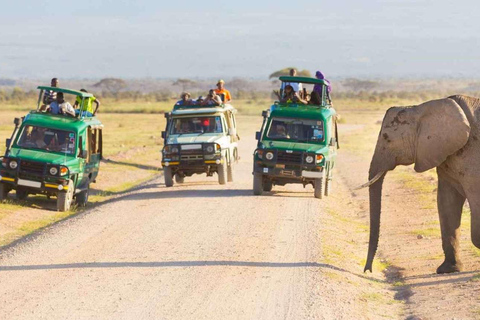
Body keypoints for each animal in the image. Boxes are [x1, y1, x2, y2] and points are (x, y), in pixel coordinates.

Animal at [364, 94, 480, 272]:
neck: (421, 108)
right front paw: (448, 269)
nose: (368, 270)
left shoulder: (472, 157)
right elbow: (447, 203)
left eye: (386, 138)